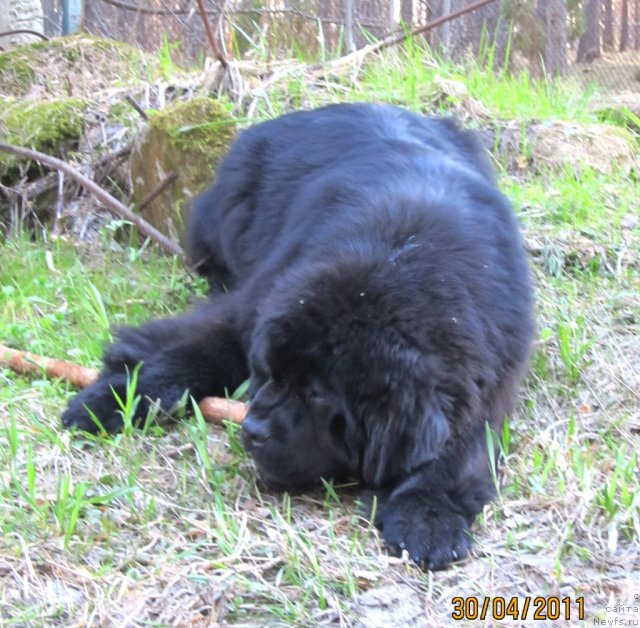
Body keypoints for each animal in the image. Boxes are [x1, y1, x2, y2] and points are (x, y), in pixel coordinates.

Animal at [62, 103, 532, 568]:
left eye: (319, 395)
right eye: (271, 374)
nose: (252, 431)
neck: (401, 255)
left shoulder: (488, 377)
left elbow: (460, 448)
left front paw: (426, 512)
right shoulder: (252, 307)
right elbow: (193, 354)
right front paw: (112, 400)